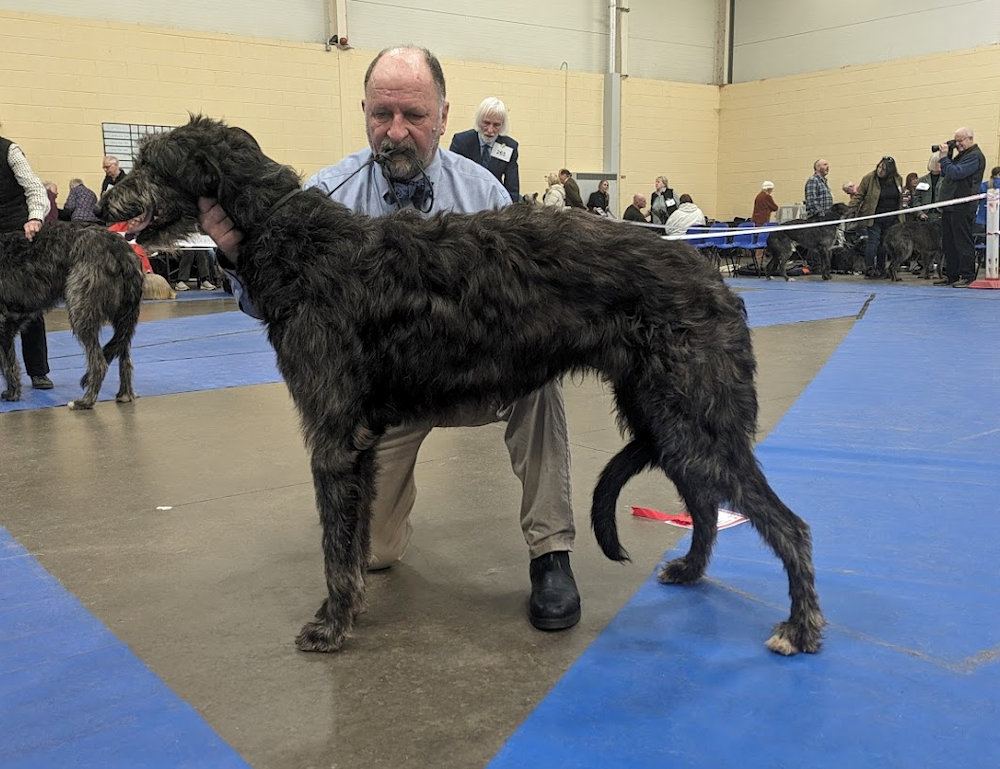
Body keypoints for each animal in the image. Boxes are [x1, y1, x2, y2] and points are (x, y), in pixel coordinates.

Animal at [0, 220, 143, 408]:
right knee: (124, 355)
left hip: (81, 308)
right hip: (123, 314)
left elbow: (7, 365)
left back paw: (85, 401)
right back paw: (125, 394)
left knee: (99, 363)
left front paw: (12, 393)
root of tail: (120, 247)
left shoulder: (3, 324)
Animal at [97, 115, 824, 656]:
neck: (296, 239)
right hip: (669, 418)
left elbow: (333, 545)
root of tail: (712, 275)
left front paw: (330, 624)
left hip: (693, 416)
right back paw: (693, 570)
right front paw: (352, 604)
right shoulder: (357, 444)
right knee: (704, 502)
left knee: (788, 524)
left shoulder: (332, 436)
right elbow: (352, 542)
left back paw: (801, 626)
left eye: (151, 161)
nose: (103, 203)